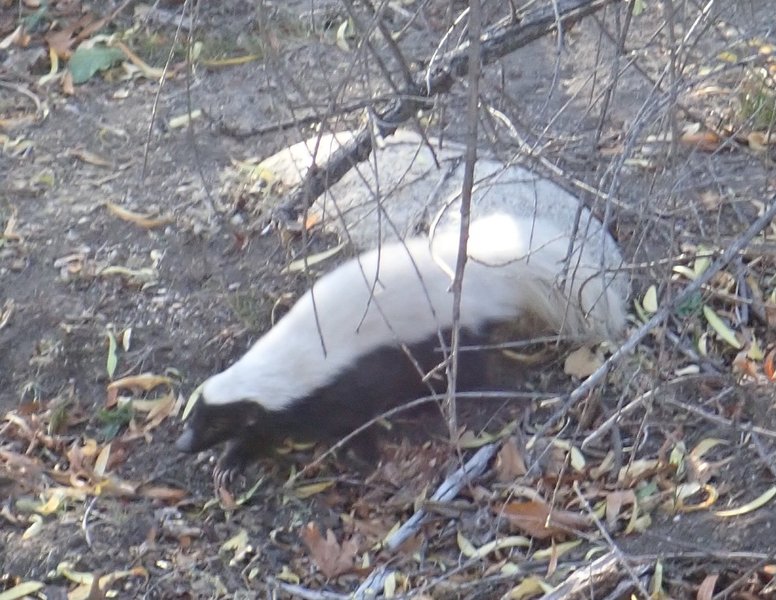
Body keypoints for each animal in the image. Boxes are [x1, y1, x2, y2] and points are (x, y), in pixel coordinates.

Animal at [177, 213, 632, 480]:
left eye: (212, 424)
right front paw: (231, 461)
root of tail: (482, 271)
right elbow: (265, 429)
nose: (182, 444)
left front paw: (362, 458)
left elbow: (355, 422)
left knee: (468, 369)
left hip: (450, 335)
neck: (283, 363)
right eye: (194, 415)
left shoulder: (342, 385)